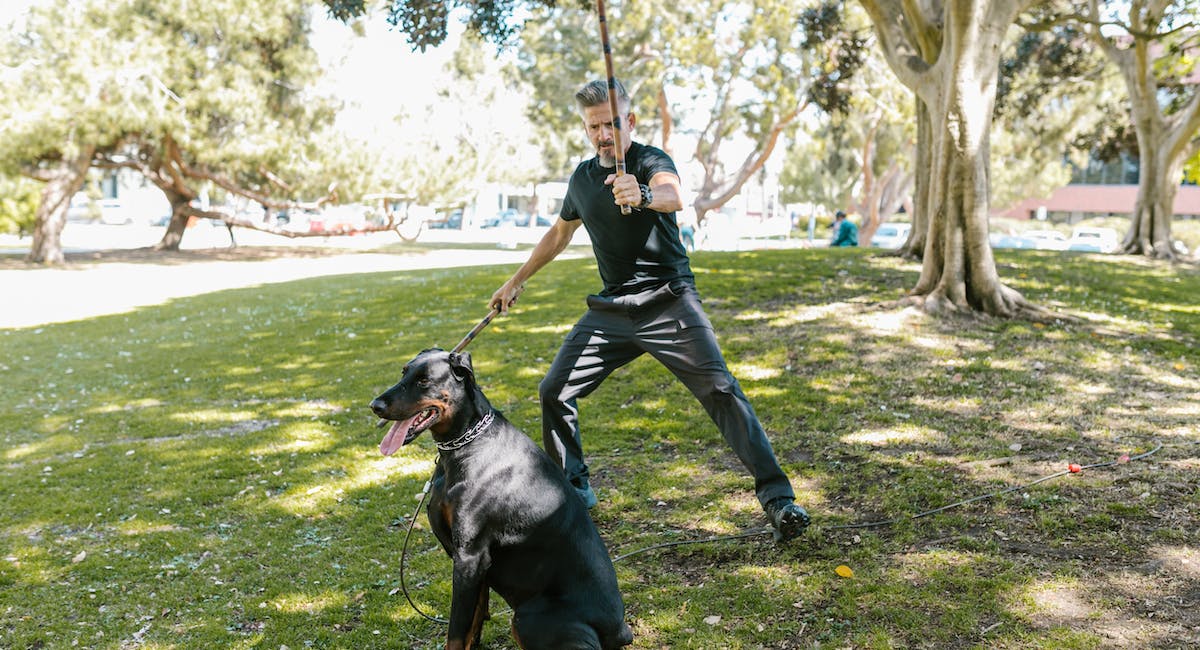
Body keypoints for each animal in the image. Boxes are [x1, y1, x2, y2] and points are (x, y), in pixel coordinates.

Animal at [369, 352, 638, 650]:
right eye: (403, 372)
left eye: (424, 380)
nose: (375, 406)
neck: (466, 443)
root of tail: (622, 631)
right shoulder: (477, 567)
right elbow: (475, 618)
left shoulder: (469, 557)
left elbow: (456, 631)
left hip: (528, 617)